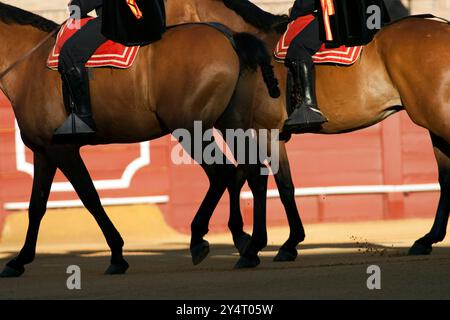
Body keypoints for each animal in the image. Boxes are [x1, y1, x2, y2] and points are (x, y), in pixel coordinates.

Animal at [0, 1, 278, 278]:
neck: (28, 66)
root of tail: (230, 38)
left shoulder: (62, 151)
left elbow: (90, 197)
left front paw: (117, 254)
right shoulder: (44, 152)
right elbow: (37, 205)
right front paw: (18, 260)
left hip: (190, 130)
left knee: (222, 174)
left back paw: (200, 238)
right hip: (231, 123)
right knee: (251, 172)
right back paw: (250, 245)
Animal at [165, 0, 450, 268]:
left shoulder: (260, 132)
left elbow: (256, 181)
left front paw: (252, 246)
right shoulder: (275, 137)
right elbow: (284, 186)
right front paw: (289, 244)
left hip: (436, 118)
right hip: (433, 123)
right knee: (445, 177)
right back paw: (426, 239)